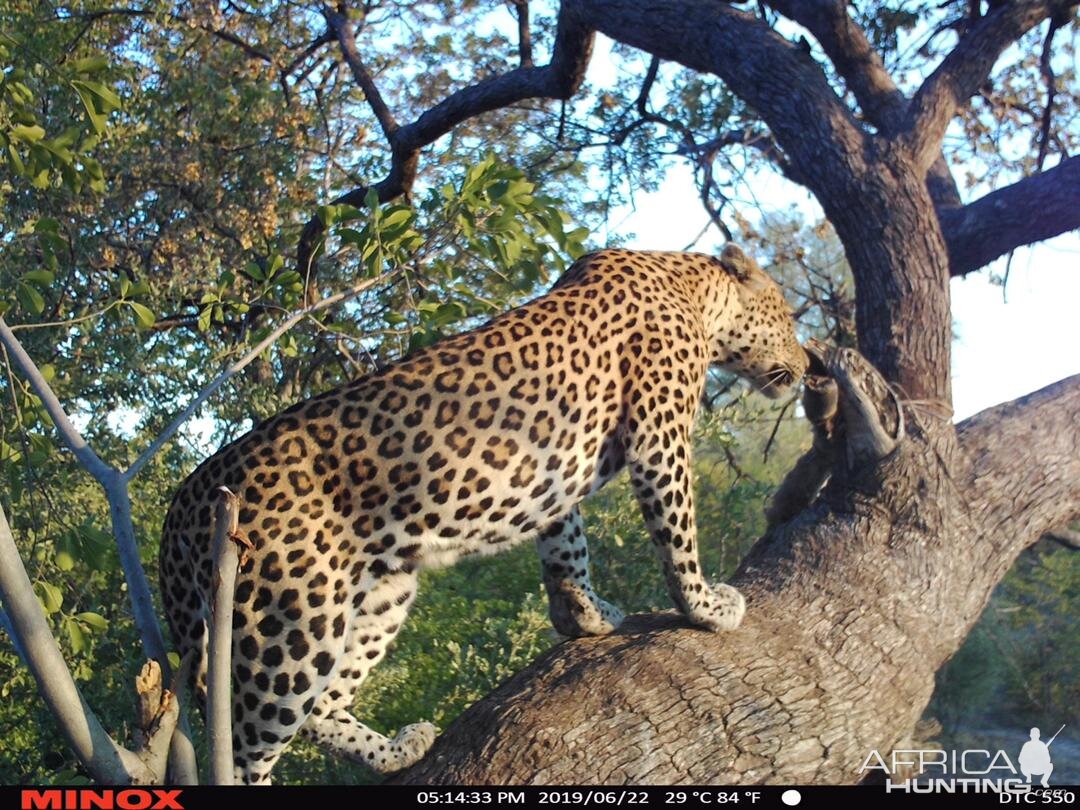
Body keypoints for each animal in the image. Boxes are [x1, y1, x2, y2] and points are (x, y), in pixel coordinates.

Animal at [157, 244, 803, 781]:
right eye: (791, 320)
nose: (808, 364)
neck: (694, 288)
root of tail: (186, 501)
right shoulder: (659, 437)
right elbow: (678, 532)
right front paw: (705, 606)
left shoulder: (556, 471)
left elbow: (566, 546)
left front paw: (583, 615)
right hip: (291, 624)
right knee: (245, 748)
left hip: (379, 591)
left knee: (325, 706)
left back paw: (398, 749)